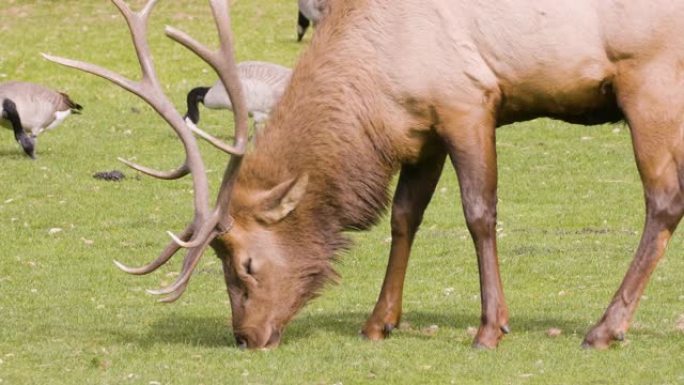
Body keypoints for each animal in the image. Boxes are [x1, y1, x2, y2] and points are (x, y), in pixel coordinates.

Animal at [46, 0, 684, 350]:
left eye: (245, 263)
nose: (245, 337)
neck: (377, 84)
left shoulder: (468, 101)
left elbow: (479, 214)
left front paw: (488, 329)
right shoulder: (423, 126)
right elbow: (403, 216)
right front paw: (379, 323)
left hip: (648, 78)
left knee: (664, 201)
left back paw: (605, 328)